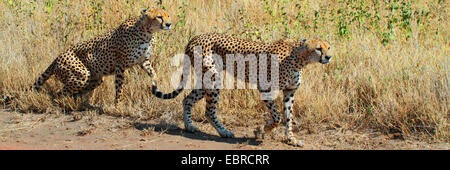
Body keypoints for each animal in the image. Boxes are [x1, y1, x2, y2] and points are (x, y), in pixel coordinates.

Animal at [33, 8, 172, 104]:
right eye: (159, 17)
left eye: (168, 15)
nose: (169, 24)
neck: (147, 32)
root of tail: (57, 57)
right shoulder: (120, 66)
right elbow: (119, 89)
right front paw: (118, 106)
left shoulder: (143, 60)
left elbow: (153, 73)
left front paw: (156, 85)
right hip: (81, 75)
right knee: (59, 93)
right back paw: (62, 103)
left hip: (95, 78)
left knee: (77, 91)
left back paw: (78, 102)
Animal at [151, 32, 330, 146]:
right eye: (319, 48)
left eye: (328, 47)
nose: (329, 57)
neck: (300, 58)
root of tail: (195, 37)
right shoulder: (264, 87)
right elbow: (277, 116)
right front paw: (263, 129)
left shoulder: (290, 92)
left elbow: (288, 117)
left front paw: (291, 139)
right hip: (214, 79)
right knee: (209, 111)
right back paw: (224, 132)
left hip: (206, 80)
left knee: (187, 99)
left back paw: (189, 127)